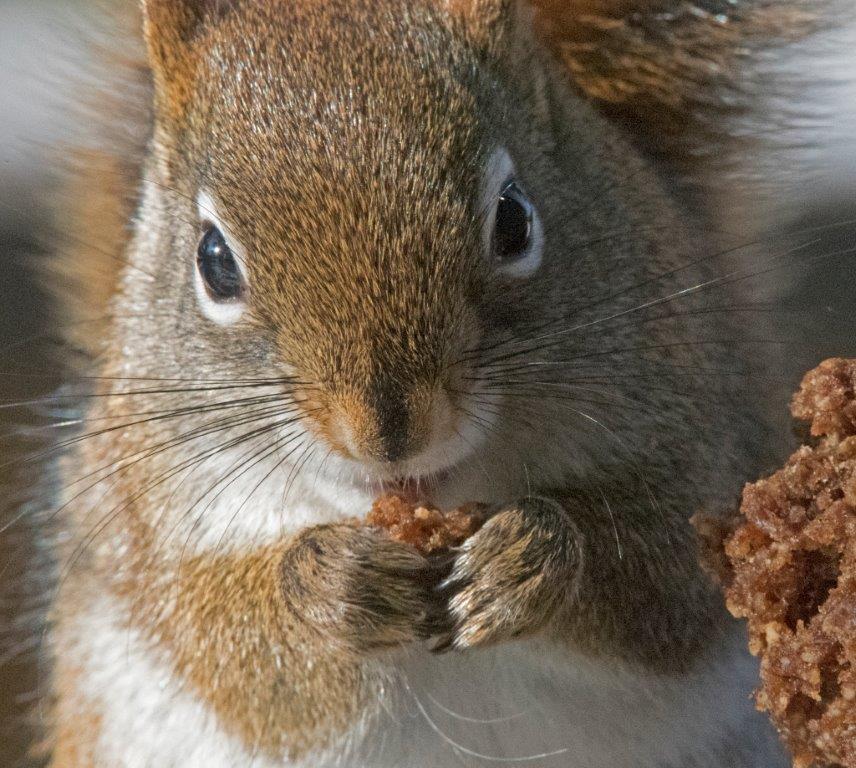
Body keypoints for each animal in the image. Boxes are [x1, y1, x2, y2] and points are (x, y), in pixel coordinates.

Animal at [42, 0, 816, 766]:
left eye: (515, 218)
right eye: (212, 261)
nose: (388, 431)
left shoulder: (697, 431)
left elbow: (671, 582)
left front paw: (527, 560)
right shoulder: (145, 528)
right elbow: (227, 649)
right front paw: (330, 585)